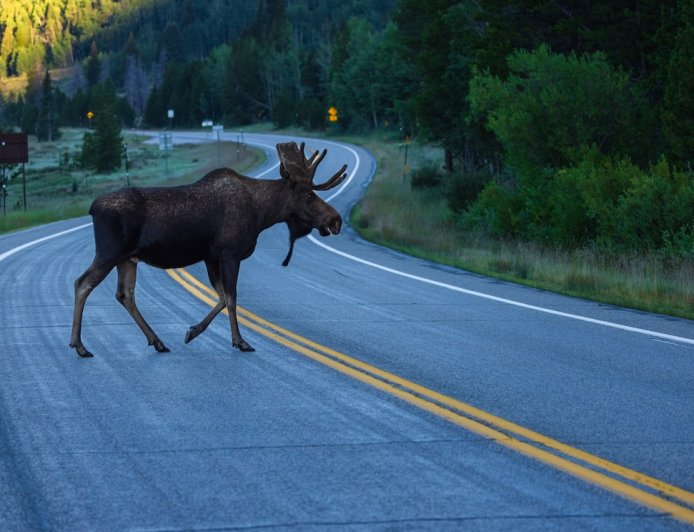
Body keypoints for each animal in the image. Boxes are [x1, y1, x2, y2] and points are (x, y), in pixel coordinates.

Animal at [69, 141, 347, 358]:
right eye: (309, 194)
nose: (336, 220)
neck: (262, 214)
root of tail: (92, 207)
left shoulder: (211, 257)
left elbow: (222, 296)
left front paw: (192, 331)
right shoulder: (229, 254)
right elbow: (232, 298)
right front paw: (240, 341)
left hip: (128, 258)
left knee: (125, 294)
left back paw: (157, 341)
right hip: (109, 252)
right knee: (82, 283)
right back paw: (80, 346)